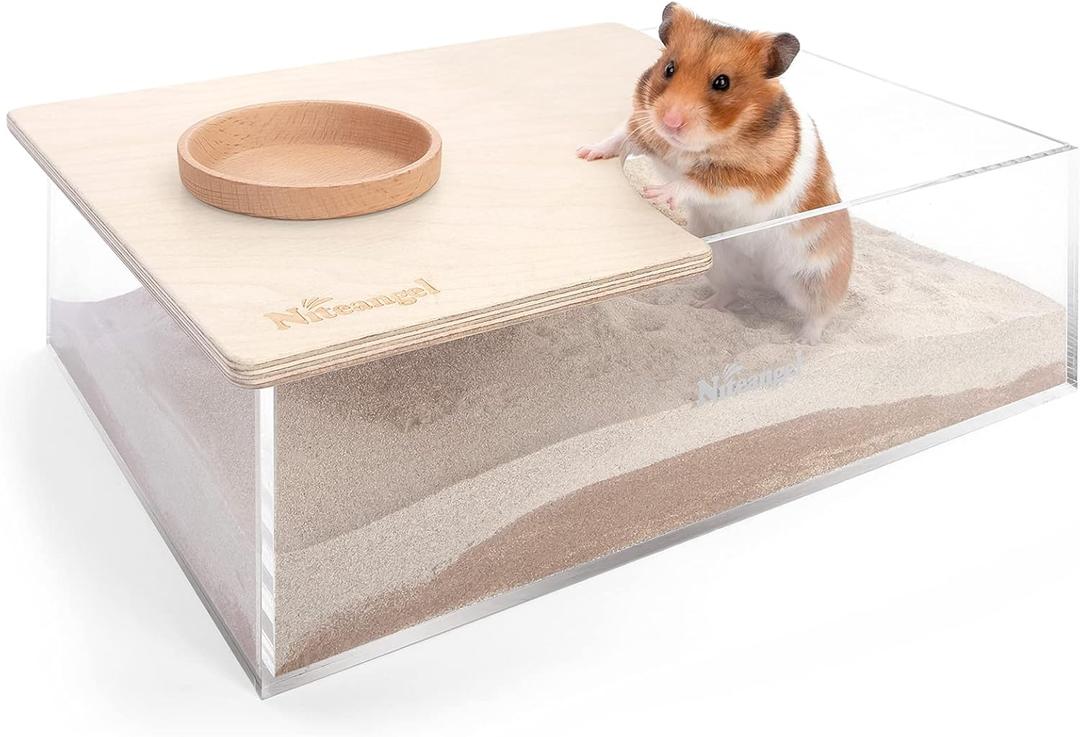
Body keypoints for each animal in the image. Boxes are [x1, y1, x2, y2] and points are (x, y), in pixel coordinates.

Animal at [578, 3, 853, 344]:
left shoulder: (748, 182)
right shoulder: (643, 125)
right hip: (719, 265)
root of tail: (763, 281)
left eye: (722, 82)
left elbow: (696, 182)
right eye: (669, 69)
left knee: (821, 312)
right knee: (730, 292)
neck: (691, 146)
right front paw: (586, 152)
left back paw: (803, 341)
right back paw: (702, 305)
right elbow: (619, 136)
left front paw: (656, 194)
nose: (670, 122)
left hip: (815, 275)